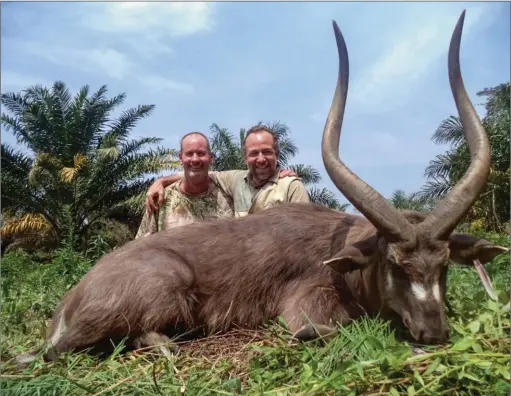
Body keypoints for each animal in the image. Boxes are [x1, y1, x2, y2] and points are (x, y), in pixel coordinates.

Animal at [16, 10, 508, 366]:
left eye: (442, 265)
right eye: (395, 263)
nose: (433, 332)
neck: (343, 245)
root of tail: (68, 306)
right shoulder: (308, 305)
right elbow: (315, 328)